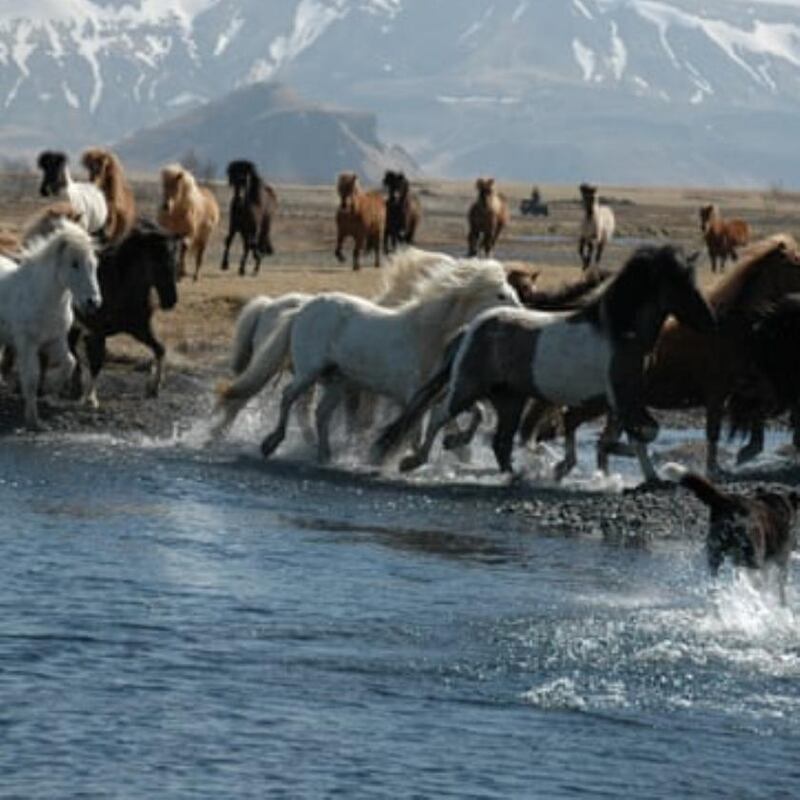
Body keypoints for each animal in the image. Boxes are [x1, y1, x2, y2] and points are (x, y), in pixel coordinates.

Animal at [0, 220, 101, 429]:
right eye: (74, 264)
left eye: (94, 264)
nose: (93, 302)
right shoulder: (28, 345)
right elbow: (31, 379)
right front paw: (33, 419)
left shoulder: (55, 341)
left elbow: (70, 362)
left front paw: (50, 387)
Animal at [70, 221, 180, 407]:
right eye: (159, 263)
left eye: (175, 262)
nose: (170, 301)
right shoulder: (97, 332)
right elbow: (96, 361)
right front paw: (91, 399)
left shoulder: (141, 329)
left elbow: (160, 349)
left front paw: (153, 387)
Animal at [216, 257, 520, 462]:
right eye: (501, 295)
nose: (521, 316)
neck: (427, 335)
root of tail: (302, 308)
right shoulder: (415, 395)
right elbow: (417, 432)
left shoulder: (442, 392)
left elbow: (476, 413)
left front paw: (456, 445)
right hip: (308, 371)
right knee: (289, 397)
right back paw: (270, 443)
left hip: (337, 380)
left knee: (320, 412)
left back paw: (325, 454)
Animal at [372, 245, 715, 483]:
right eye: (680, 285)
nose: (709, 322)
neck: (618, 332)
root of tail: (471, 329)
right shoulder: (621, 399)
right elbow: (641, 433)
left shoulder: (618, 401)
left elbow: (626, 433)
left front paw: (649, 476)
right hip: (469, 387)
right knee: (441, 414)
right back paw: (415, 460)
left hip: (510, 398)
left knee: (500, 442)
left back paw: (516, 475)